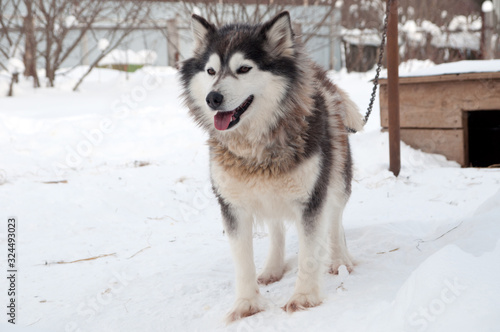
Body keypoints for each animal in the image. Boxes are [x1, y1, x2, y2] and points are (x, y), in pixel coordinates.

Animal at [180, 11, 364, 320]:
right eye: (210, 71)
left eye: (244, 68)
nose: (213, 98)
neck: (256, 147)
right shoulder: (233, 205)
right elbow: (243, 262)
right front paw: (246, 304)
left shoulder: (311, 199)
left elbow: (310, 252)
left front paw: (304, 297)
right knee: (276, 227)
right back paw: (273, 268)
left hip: (337, 178)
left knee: (334, 218)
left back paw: (340, 260)